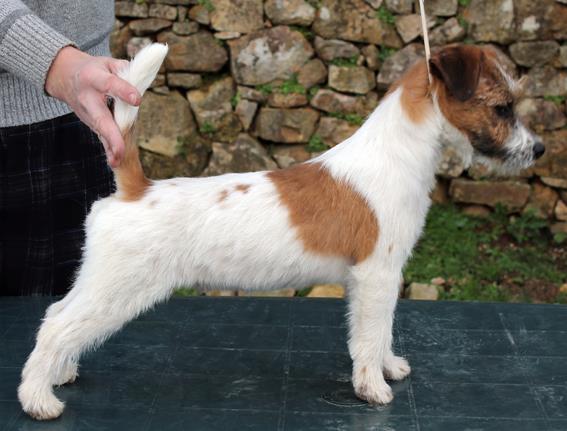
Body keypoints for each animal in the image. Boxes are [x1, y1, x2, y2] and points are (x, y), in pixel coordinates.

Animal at [17, 42, 544, 420]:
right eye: (502, 108)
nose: (538, 150)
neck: (395, 153)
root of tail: (134, 189)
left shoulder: (378, 277)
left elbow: (381, 331)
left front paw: (389, 368)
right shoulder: (377, 274)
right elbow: (370, 333)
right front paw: (372, 386)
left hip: (100, 281)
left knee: (58, 315)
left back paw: (60, 374)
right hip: (119, 288)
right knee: (57, 326)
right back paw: (38, 399)